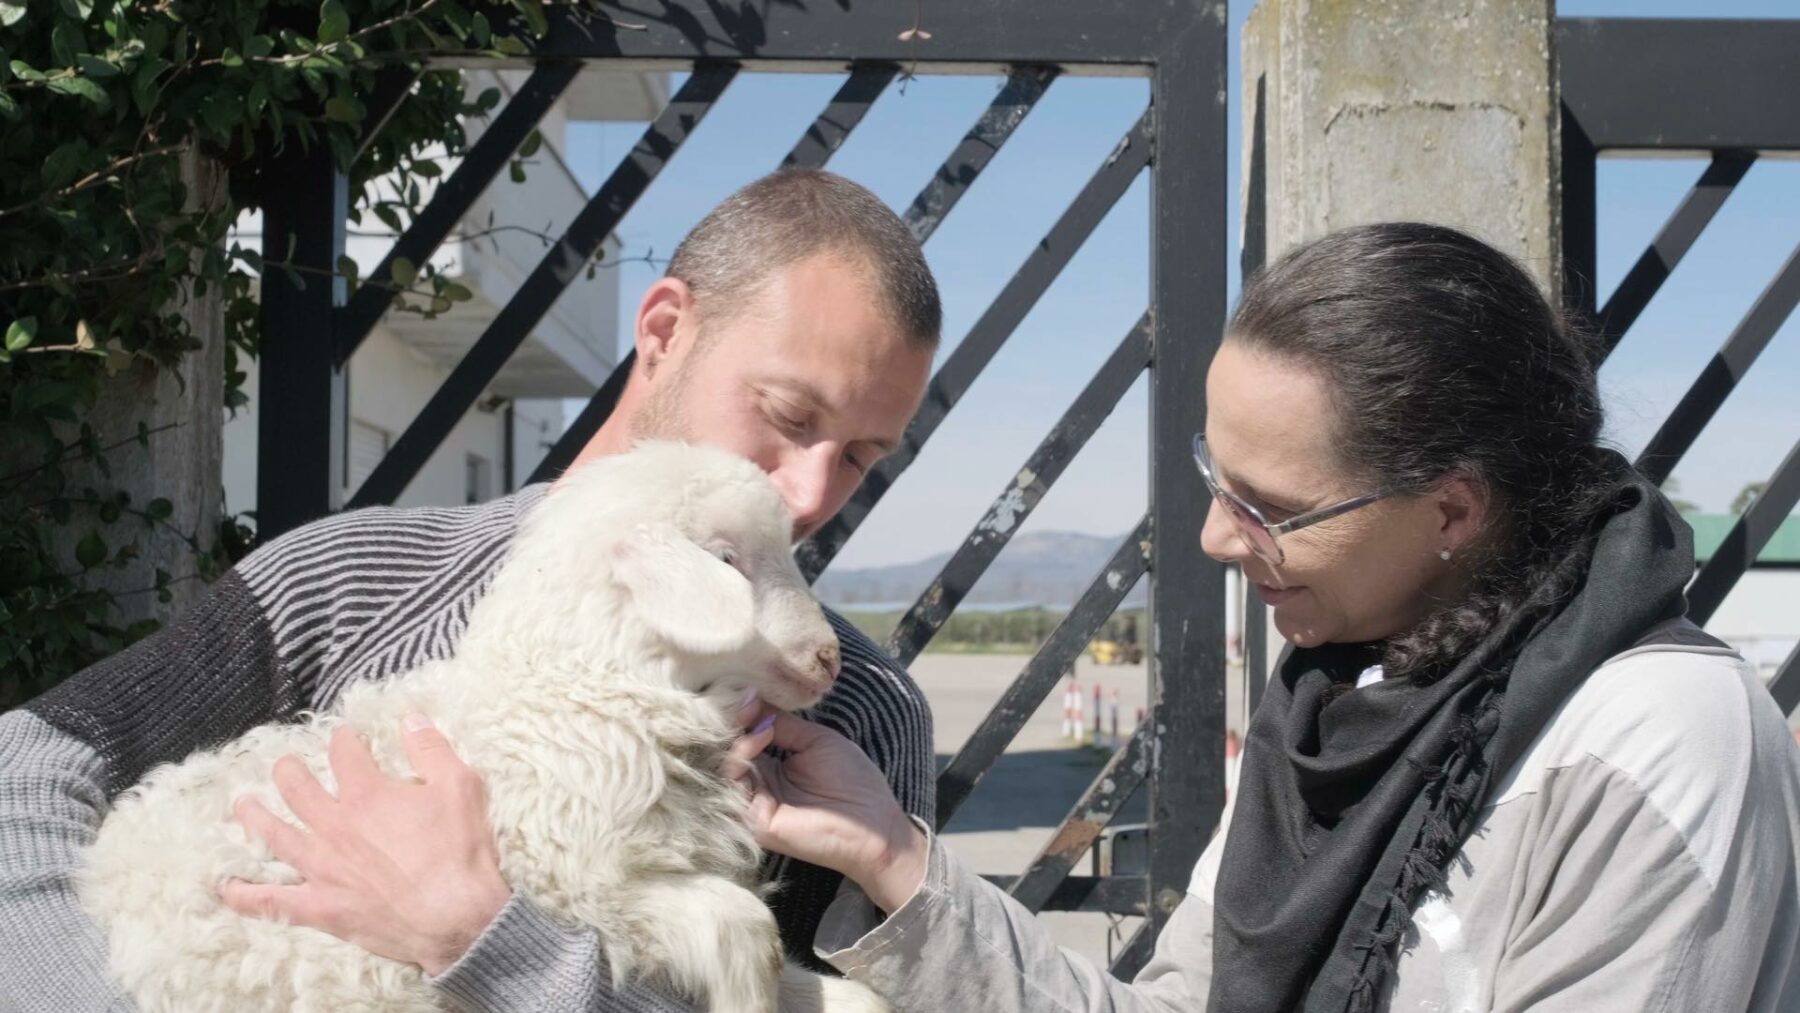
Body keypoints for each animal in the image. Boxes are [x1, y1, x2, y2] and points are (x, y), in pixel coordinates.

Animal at [79, 442, 892, 1013]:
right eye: (726, 559)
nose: (827, 658)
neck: (572, 690)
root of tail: (105, 879)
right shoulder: (584, 891)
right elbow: (746, 927)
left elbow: (851, 992)